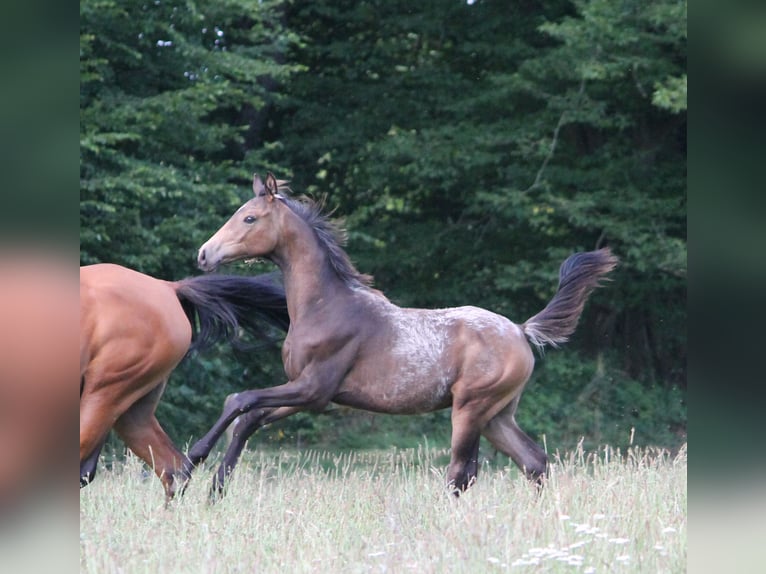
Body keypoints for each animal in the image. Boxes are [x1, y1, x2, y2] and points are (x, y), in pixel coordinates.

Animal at [190, 173, 616, 498]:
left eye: (249, 218)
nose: (204, 254)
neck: (325, 305)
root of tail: (520, 331)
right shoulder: (307, 393)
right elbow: (249, 417)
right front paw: (214, 489)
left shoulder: (313, 389)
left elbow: (239, 400)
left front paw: (190, 463)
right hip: (497, 415)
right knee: (533, 462)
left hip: (471, 409)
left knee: (462, 473)